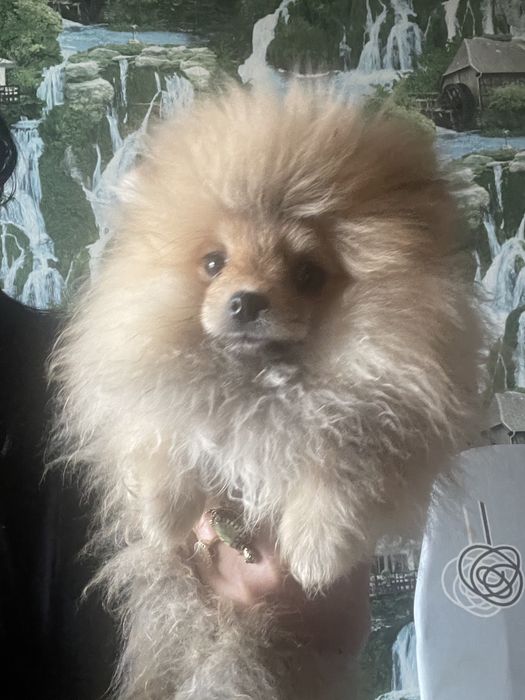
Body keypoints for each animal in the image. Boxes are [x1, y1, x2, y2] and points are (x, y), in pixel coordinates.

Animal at [50, 84, 482, 699]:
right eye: (214, 263)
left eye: (307, 274)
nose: (246, 300)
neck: (263, 386)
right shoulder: (149, 391)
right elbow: (161, 438)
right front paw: (163, 516)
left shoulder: (385, 415)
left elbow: (343, 466)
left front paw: (319, 549)